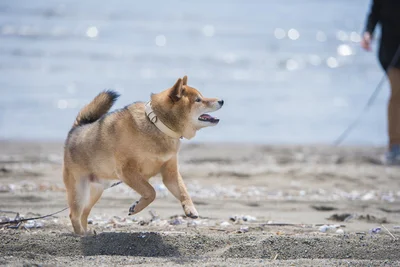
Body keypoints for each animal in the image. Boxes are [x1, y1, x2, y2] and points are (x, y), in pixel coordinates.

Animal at [64, 76, 223, 236]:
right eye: (198, 100)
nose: (221, 100)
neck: (157, 124)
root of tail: (75, 129)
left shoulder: (170, 173)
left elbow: (183, 192)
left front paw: (190, 209)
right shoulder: (128, 172)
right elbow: (151, 192)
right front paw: (137, 207)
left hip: (97, 190)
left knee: (84, 213)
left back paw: (87, 233)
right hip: (79, 191)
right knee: (74, 214)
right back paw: (80, 233)